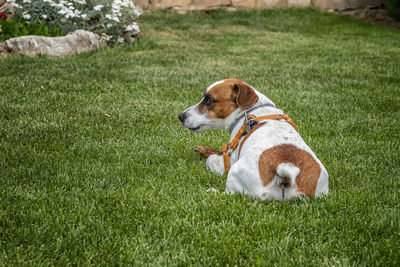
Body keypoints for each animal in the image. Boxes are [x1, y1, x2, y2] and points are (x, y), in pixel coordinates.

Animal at [178, 79, 328, 201]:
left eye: (209, 100)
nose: (180, 116)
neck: (251, 111)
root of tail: (285, 167)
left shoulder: (228, 162)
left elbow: (212, 158)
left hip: (234, 174)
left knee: (230, 194)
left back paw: (211, 191)